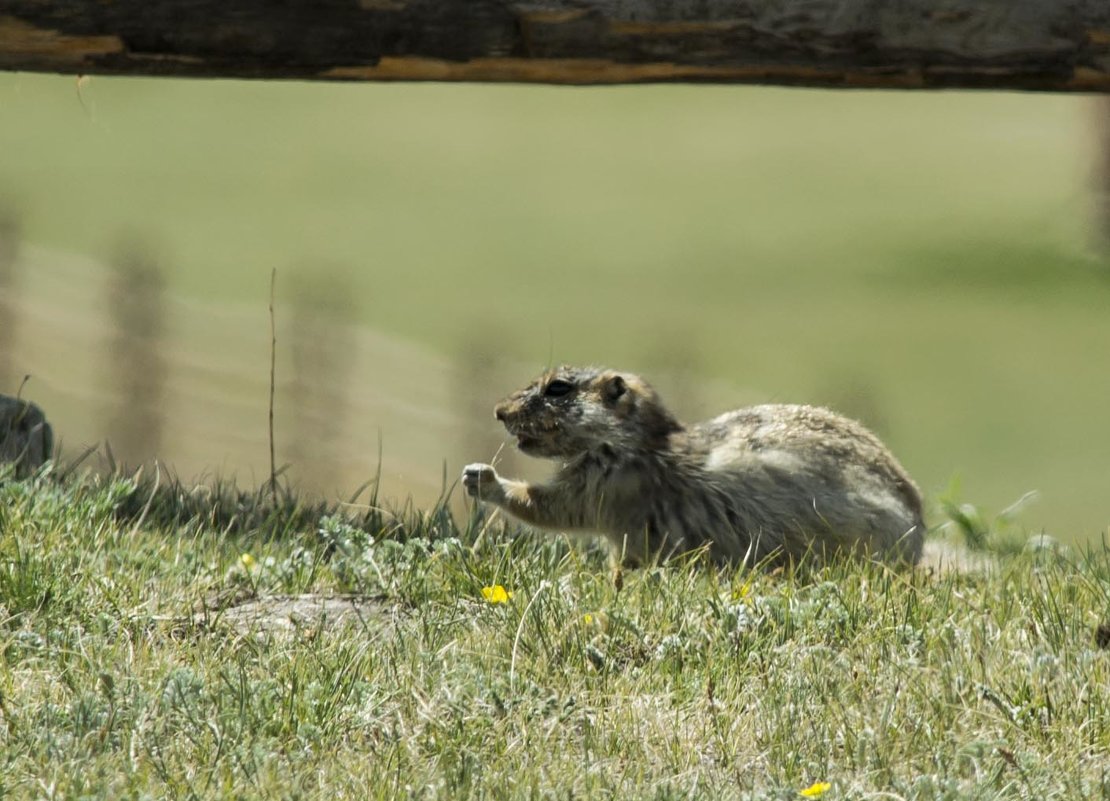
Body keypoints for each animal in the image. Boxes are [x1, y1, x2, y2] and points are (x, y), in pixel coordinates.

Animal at [461, 366, 927, 565]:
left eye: (557, 387)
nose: (499, 411)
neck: (636, 440)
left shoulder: (612, 483)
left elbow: (554, 506)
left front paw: (481, 476)